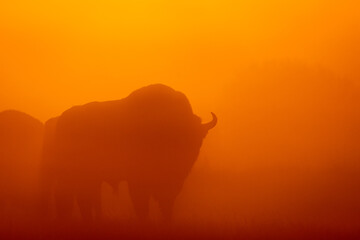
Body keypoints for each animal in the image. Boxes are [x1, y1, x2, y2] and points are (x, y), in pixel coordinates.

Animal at [42, 84, 217, 221]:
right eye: (179, 137)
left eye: (198, 139)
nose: (185, 160)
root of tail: (62, 120)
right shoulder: (137, 180)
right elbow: (142, 205)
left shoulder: (172, 183)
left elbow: (166, 203)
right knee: (66, 196)